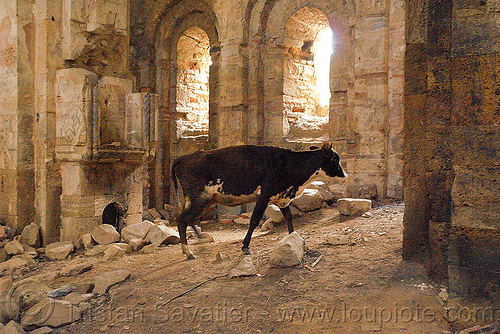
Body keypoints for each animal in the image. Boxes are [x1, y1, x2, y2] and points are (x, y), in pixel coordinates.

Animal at [172, 142, 348, 260]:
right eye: (334, 159)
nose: (345, 175)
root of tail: (186, 157)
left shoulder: (282, 198)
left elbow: (289, 218)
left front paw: (296, 240)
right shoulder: (264, 195)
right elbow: (254, 220)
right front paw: (245, 246)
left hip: (203, 200)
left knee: (189, 219)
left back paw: (200, 240)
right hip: (199, 198)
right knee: (182, 219)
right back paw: (188, 252)